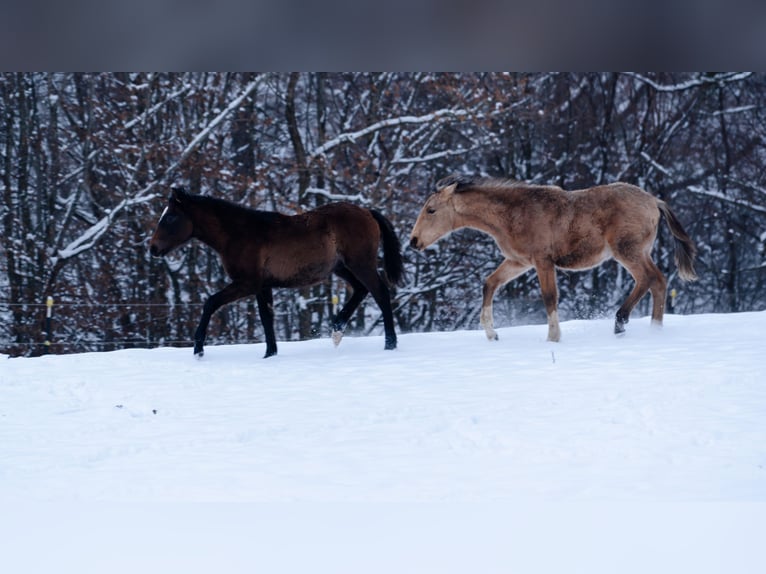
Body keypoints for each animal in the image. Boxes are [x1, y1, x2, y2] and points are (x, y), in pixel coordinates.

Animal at [149, 187, 404, 358]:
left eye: (170, 216)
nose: (153, 249)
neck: (237, 234)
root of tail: (367, 212)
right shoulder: (262, 286)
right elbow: (266, 318)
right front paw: (270, 354)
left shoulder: (247, 283)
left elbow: (210, 303)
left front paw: (198, 349)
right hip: (343, 268)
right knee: (362, 290)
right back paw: (337, 330)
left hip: (360, 264)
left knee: (381, 293)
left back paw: (390, 344)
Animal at [409, 175, 698, 342]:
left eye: (431, 210)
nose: (414, 241)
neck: (513, 214)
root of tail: (654, 201)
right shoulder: (518, 262)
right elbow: (489, 284)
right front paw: (492, 333)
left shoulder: (542, 261)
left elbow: (549, 297)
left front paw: (553, 337)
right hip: (636, 252)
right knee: (658, 282)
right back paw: (653, 330)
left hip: (628, 251)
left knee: (649, 279)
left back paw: (621, 322)